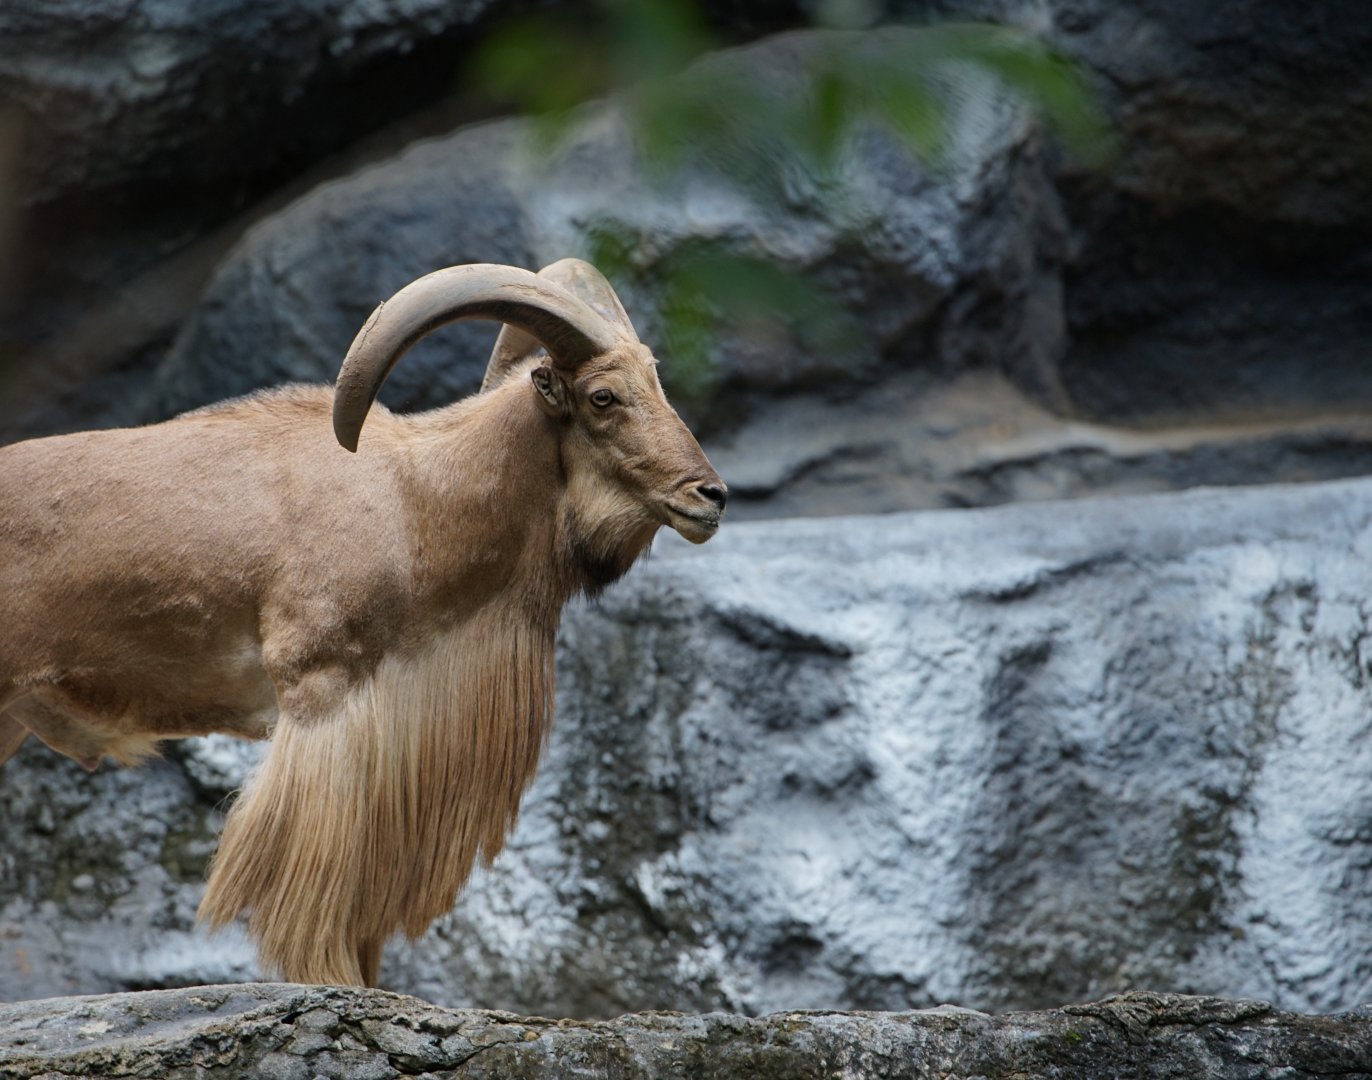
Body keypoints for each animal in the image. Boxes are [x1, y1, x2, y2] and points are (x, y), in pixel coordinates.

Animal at [0, 259, 727, 987]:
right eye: (604, 396)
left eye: (656, 381)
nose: (710, 496)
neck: (417, 502)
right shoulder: (320, 690)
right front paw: (330, 979)